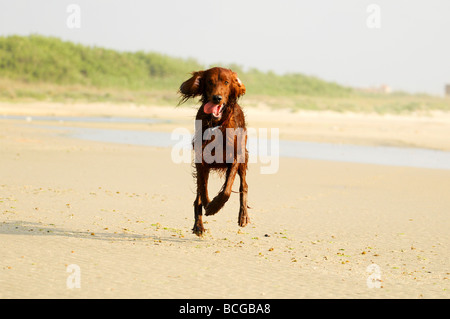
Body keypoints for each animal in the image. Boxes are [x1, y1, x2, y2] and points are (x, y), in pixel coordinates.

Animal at [178, 67, 250, 236]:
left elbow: (227, 190)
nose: (217, 98)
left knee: (243, 186)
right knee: (199, 193)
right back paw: (198, 225)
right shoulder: (201, 159)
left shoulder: (235, 156)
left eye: (226, 82)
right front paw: (208, 206)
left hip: (244, 157)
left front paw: (214, 206)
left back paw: (243, 215)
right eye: (210, 81)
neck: (217, 123)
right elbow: (203, 190)